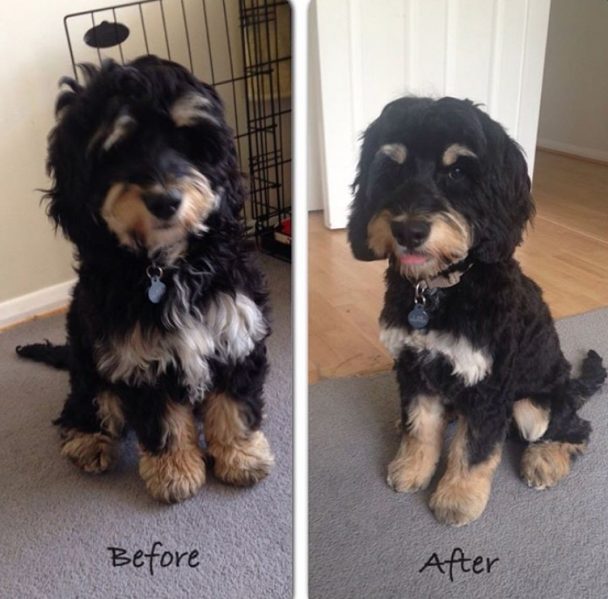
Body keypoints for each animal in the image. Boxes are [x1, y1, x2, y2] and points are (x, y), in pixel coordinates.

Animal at [16, 56, 274, 504]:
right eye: (117, 150)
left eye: (186, 141)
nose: (165, 200)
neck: (168, 266)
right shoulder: (140, 355)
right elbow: (164, 420)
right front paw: (175, 473)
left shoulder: (235, 327)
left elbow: (234, 404)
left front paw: (241, 457)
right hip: (89, 355)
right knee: (90, 401)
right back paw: (88, 439)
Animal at [346, 96, 604, 528]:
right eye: (393, 169)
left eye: (457, 171)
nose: (408, 231)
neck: (440, 290)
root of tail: (570, 384)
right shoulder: (413, 366)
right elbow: (420, 425)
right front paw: (412, 467)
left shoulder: (488, 383)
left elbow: (474, 447)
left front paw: (457, 497)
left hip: (533, 405)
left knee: (573, 428)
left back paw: (545, 458)